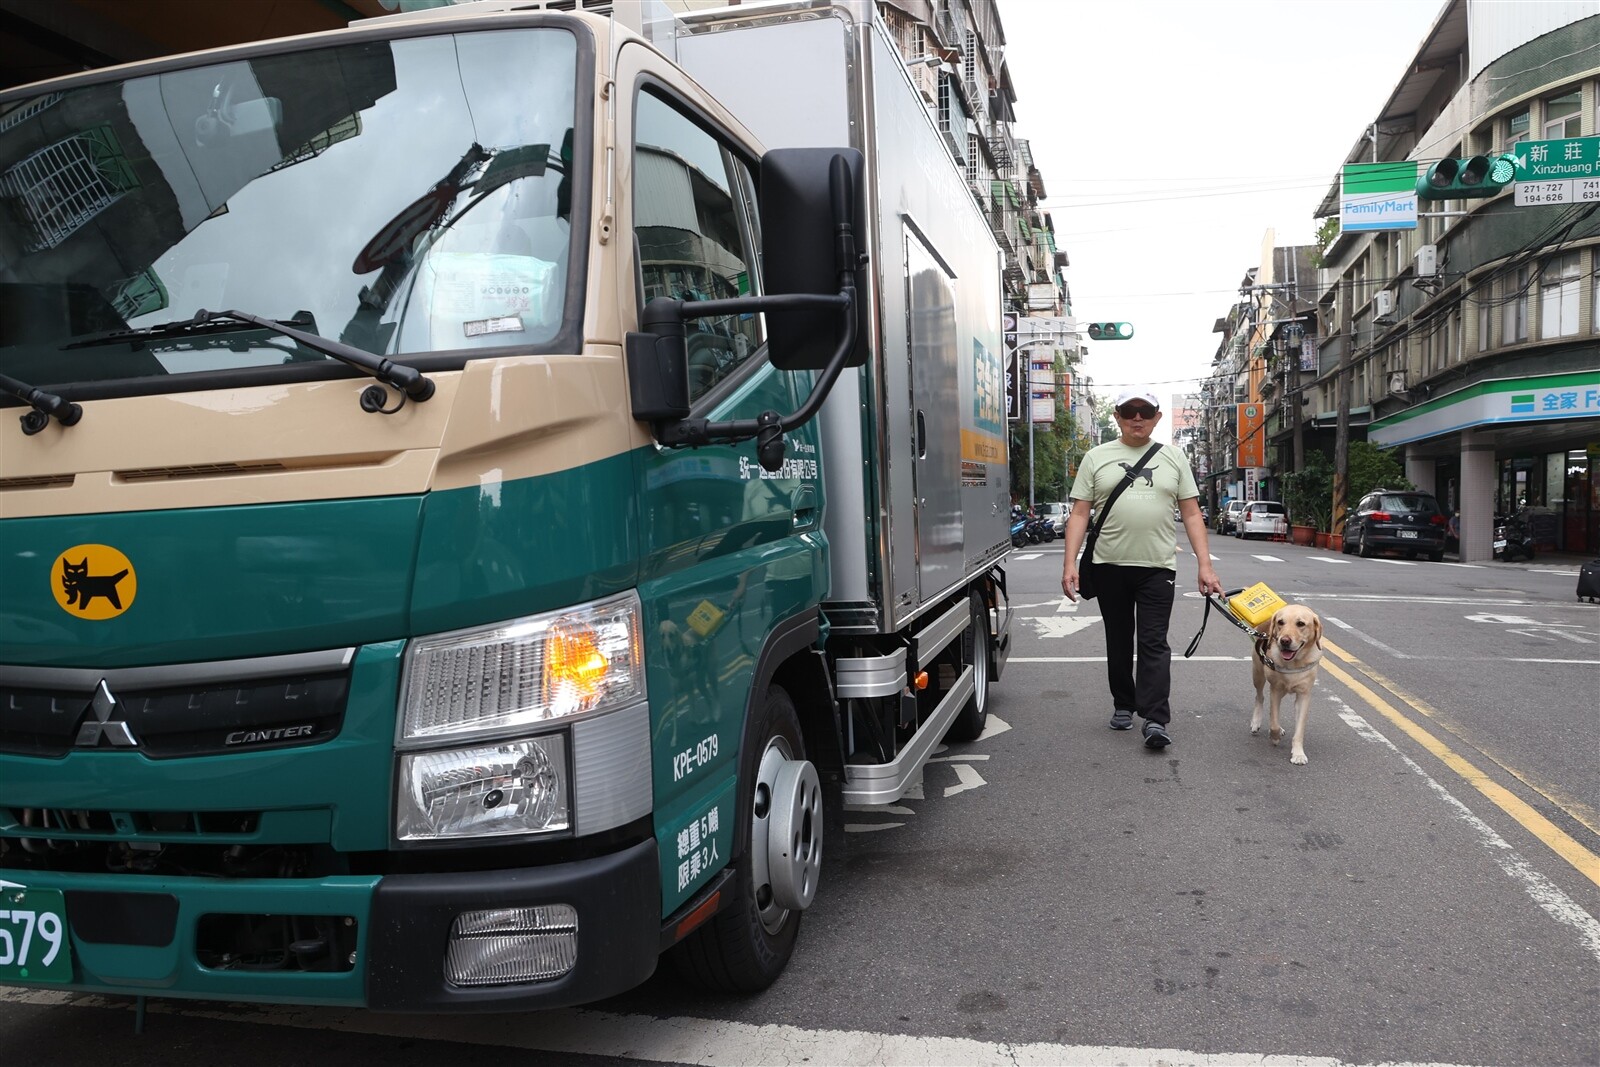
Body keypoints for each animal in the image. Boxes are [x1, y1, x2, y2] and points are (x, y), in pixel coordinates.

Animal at [1248, 604, 1324, 764]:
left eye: (1300, 623)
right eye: (1280, 622)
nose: (1284, 641)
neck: (1294, 663)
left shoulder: (1304, 695)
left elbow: (1299, 730)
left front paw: (1298, 754)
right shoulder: (1275, 690)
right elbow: (1274, 722)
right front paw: (1275, 737)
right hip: (1258, 674)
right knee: (1260, 697)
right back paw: (1256, 722)